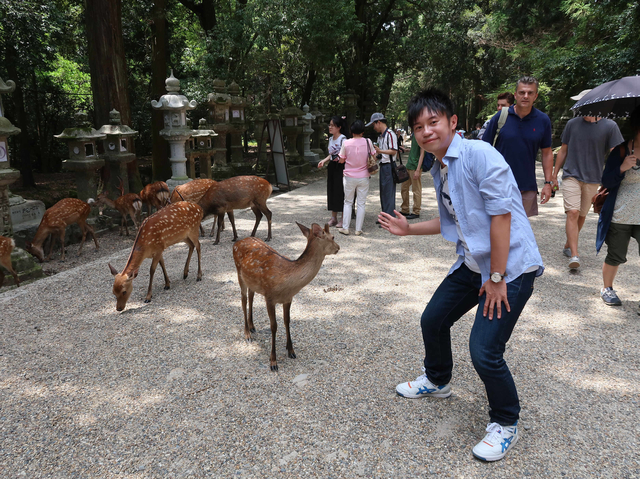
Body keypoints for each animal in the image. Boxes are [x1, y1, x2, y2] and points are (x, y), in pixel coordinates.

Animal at [231, 221, 340, 372]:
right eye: (333, 237)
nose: (338, 248)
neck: (288, 282)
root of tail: (237, 243)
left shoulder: (288, 298)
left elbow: (287, 321)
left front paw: (291, 350)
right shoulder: (269, 297)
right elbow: (274, 326)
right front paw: (273, 362)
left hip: (252, 281)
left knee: (251, 296)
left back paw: (252, 326)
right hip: (239, 273)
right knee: (243, 299)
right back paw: (247, 334)